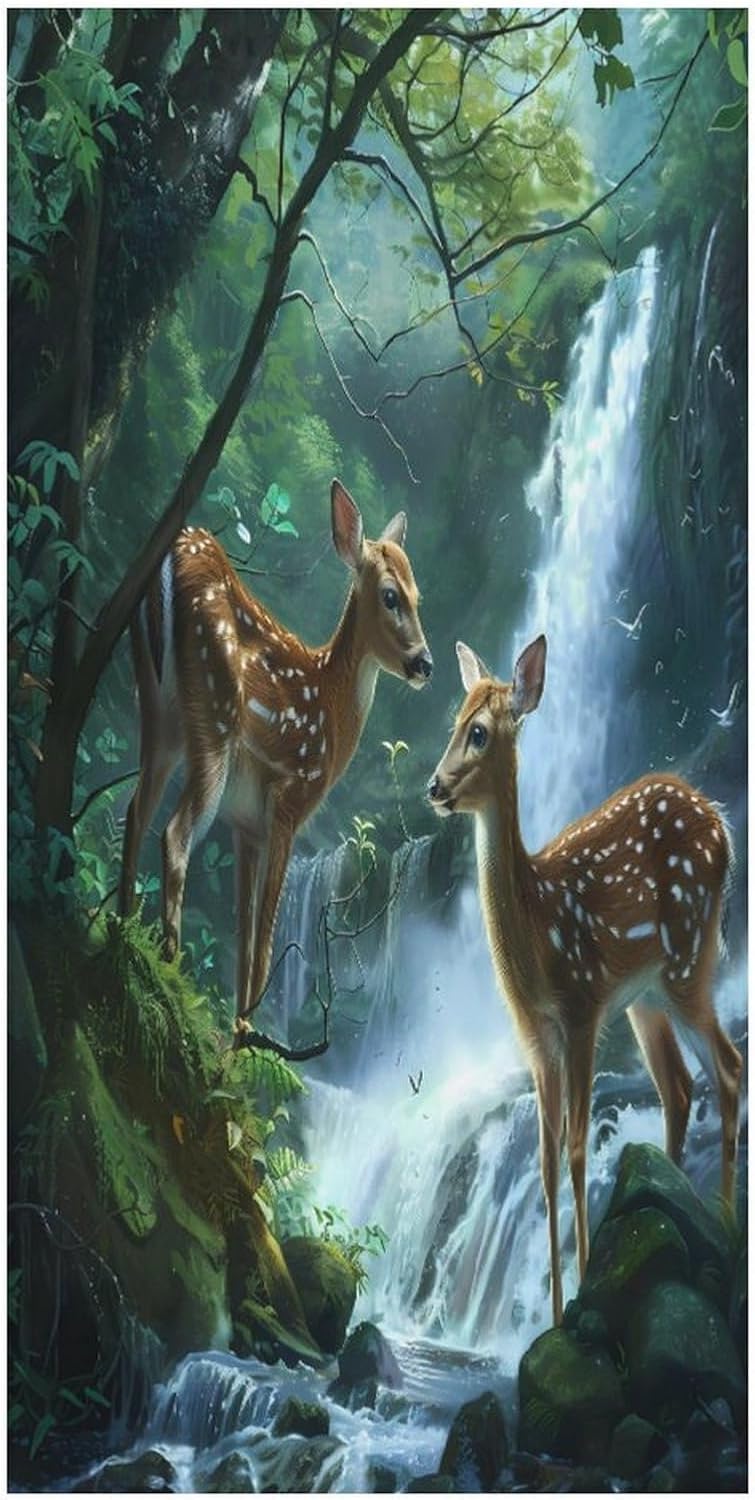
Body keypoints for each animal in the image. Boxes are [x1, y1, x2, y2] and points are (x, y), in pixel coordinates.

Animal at [118, 479, 433, 1030]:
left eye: (419, 596)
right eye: (392, 596)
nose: (425, 663)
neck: (331, 710)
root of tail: (174, 555)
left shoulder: (246, 824)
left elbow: (245, 933)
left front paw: (237, 1032)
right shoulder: (291, 798)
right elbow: (266, 935)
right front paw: (245, 1036)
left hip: (158, 711)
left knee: (137, 810)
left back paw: (119, 930)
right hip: (215, 715)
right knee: (175, 834)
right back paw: (170, 972)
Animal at [428, 633, 742, 1325]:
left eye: (480, 733)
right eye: (453, 723)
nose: (434, 787)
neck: (538, 938)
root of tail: (721, 822)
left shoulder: (581, 1007)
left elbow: (574, 1149)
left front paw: (578, 1291)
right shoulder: (535, 1035)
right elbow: (545, 1162)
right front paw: (551, 1308)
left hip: (689, 957)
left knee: (729, 1067)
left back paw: (726, 1227)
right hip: (646, 996)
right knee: (680, 1087)